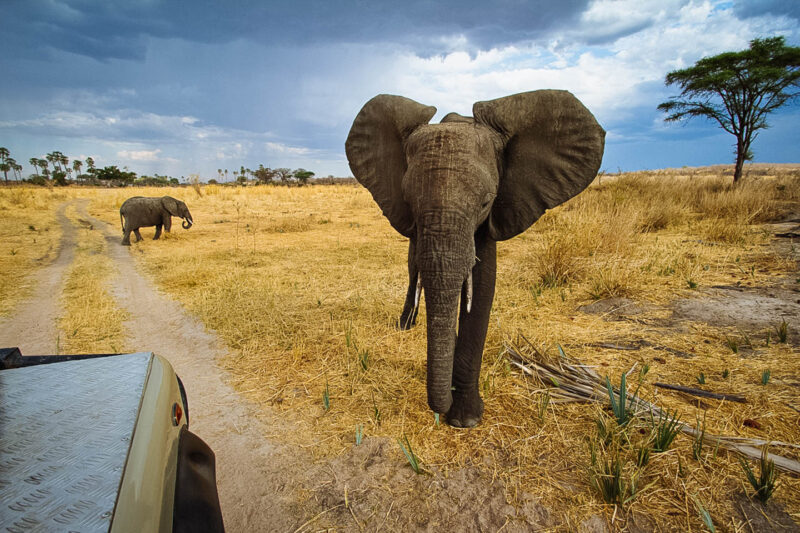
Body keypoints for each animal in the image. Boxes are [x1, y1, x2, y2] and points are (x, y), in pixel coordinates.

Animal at [346, 89, 604, 426]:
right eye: (409, 202)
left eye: (485, 203)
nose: (440, 409)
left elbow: (482, 286)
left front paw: (465, 420)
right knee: (413, 263)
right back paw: (406, 325)